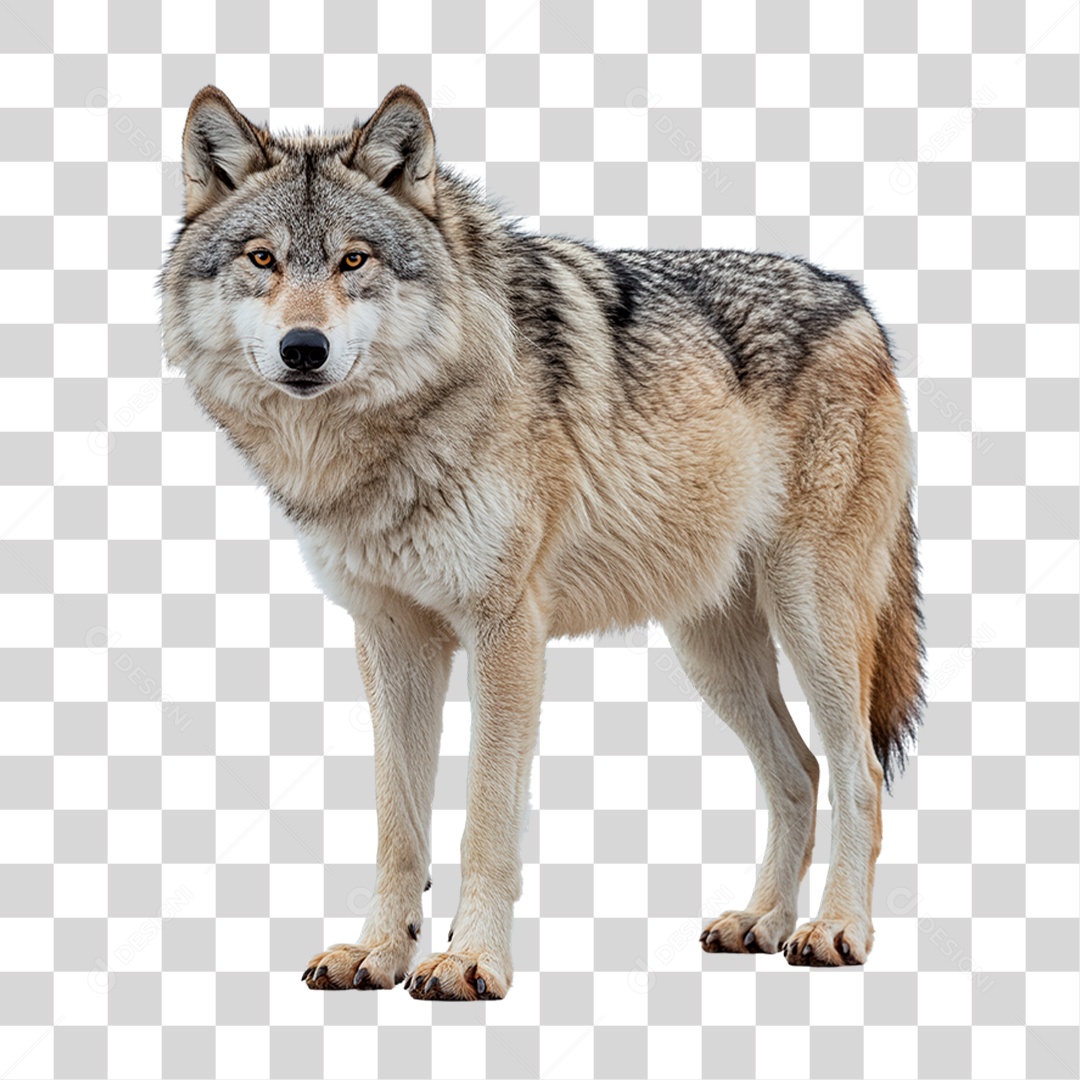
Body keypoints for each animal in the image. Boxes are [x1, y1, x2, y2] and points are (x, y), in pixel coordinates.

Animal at [160, 84, 924, 999]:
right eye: (263, 259)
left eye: (353, 261)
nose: (302, 349)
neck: (388, 443)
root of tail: (860, 303)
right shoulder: (391, 642)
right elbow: (397, 826)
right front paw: (379, 953)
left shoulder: (505, 631)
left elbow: (483, 821)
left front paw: (470, 961)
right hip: (708, 648)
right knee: (798, 771)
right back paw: (760, 922)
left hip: (811, 614)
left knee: (858, 771)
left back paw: (838, 929)